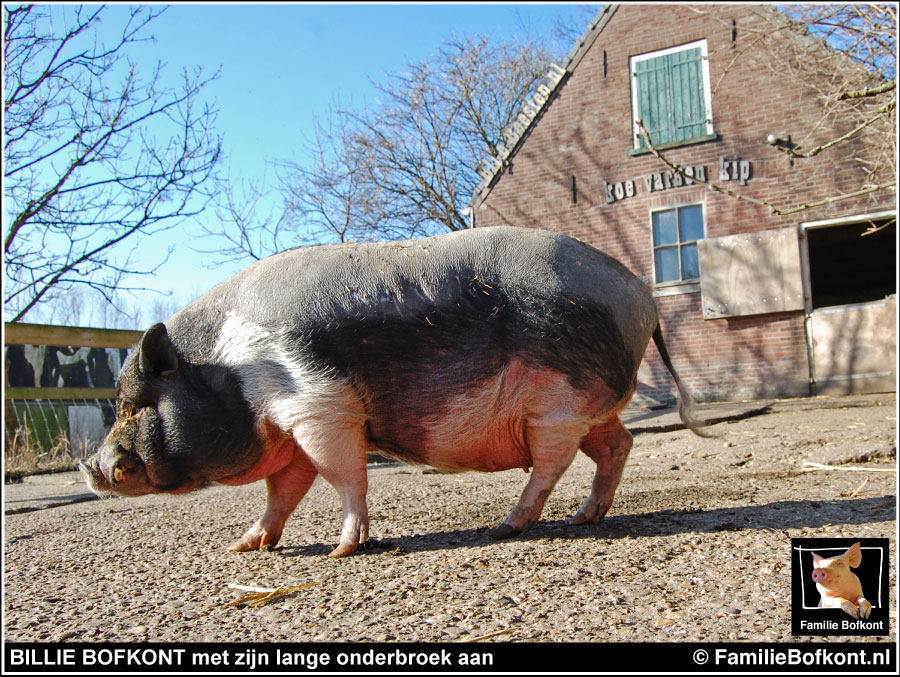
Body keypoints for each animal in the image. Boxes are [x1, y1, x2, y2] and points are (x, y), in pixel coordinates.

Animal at [79, 226, 712, 556]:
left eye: (134, 404)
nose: (93, 467)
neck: (228, 366)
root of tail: (641, 292)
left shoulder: (319, 405)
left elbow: (341, 474)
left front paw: (343, 550)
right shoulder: (292, 428)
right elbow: (284, 490)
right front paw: (246, 546)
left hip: (557, 405)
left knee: (552, 462)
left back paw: (508, 526)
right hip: (589, 406)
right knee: (618, 445)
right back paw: (585, 518)